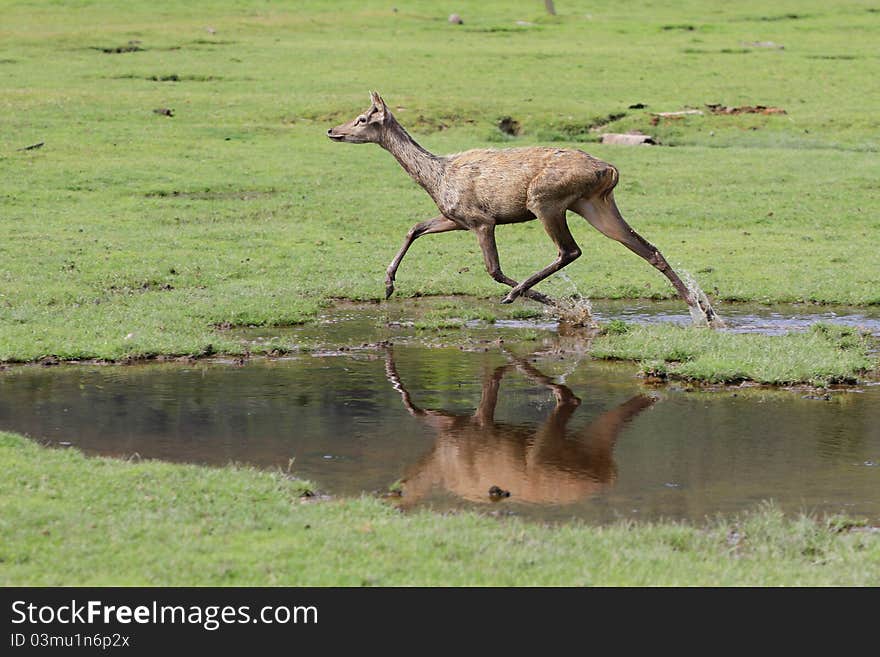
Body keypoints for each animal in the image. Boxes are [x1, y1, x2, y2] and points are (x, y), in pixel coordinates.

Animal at [326, 92, 720, 326]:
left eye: (363, 119)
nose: (332, 130)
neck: (436, 178)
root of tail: (609, 169)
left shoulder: (481, 220)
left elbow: (493, 270)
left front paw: (552, 303)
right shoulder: (455, 218)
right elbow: (415, 227)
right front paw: (388, 284)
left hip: (546, 200)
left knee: (570, 250)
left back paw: (521, 296)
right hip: (594, 204)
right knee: (648, 248)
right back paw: (702, 310)